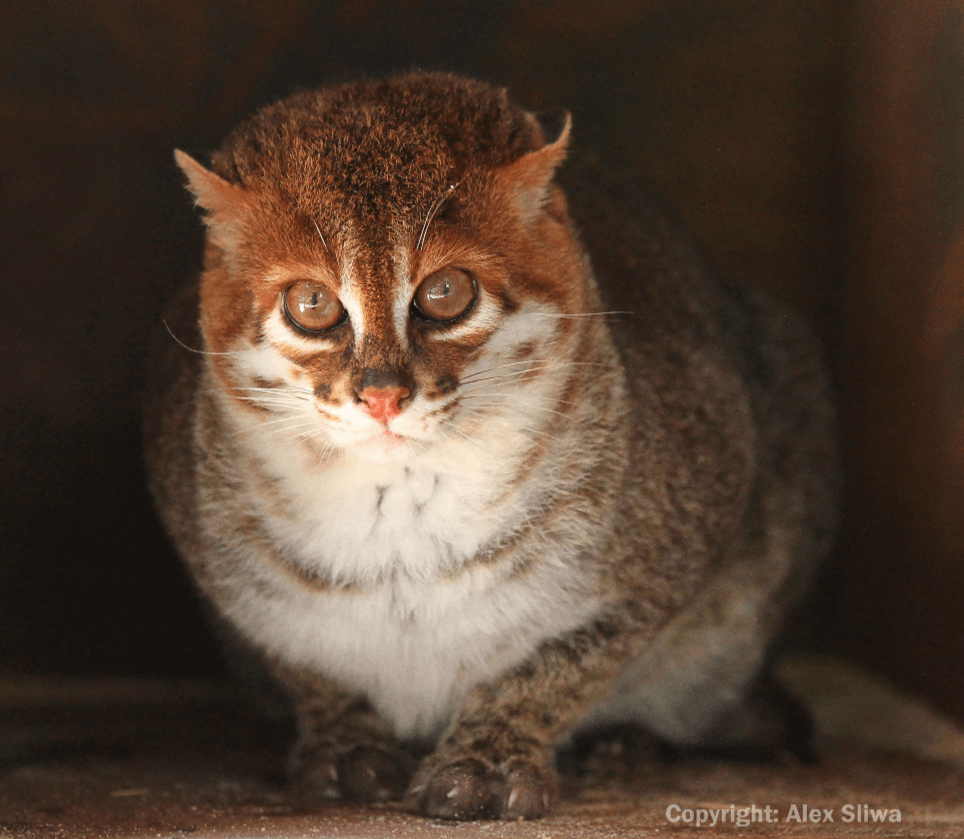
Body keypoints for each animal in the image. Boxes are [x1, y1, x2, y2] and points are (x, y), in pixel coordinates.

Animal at [141, 72, 836, 820]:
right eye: (312, 304)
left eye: (447, 291)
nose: (382, 395)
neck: (399, 502)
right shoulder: (214, 553)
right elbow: (305, 667)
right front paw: (343, 742)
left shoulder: (693, 510)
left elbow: (569, 659)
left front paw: (491, 755)